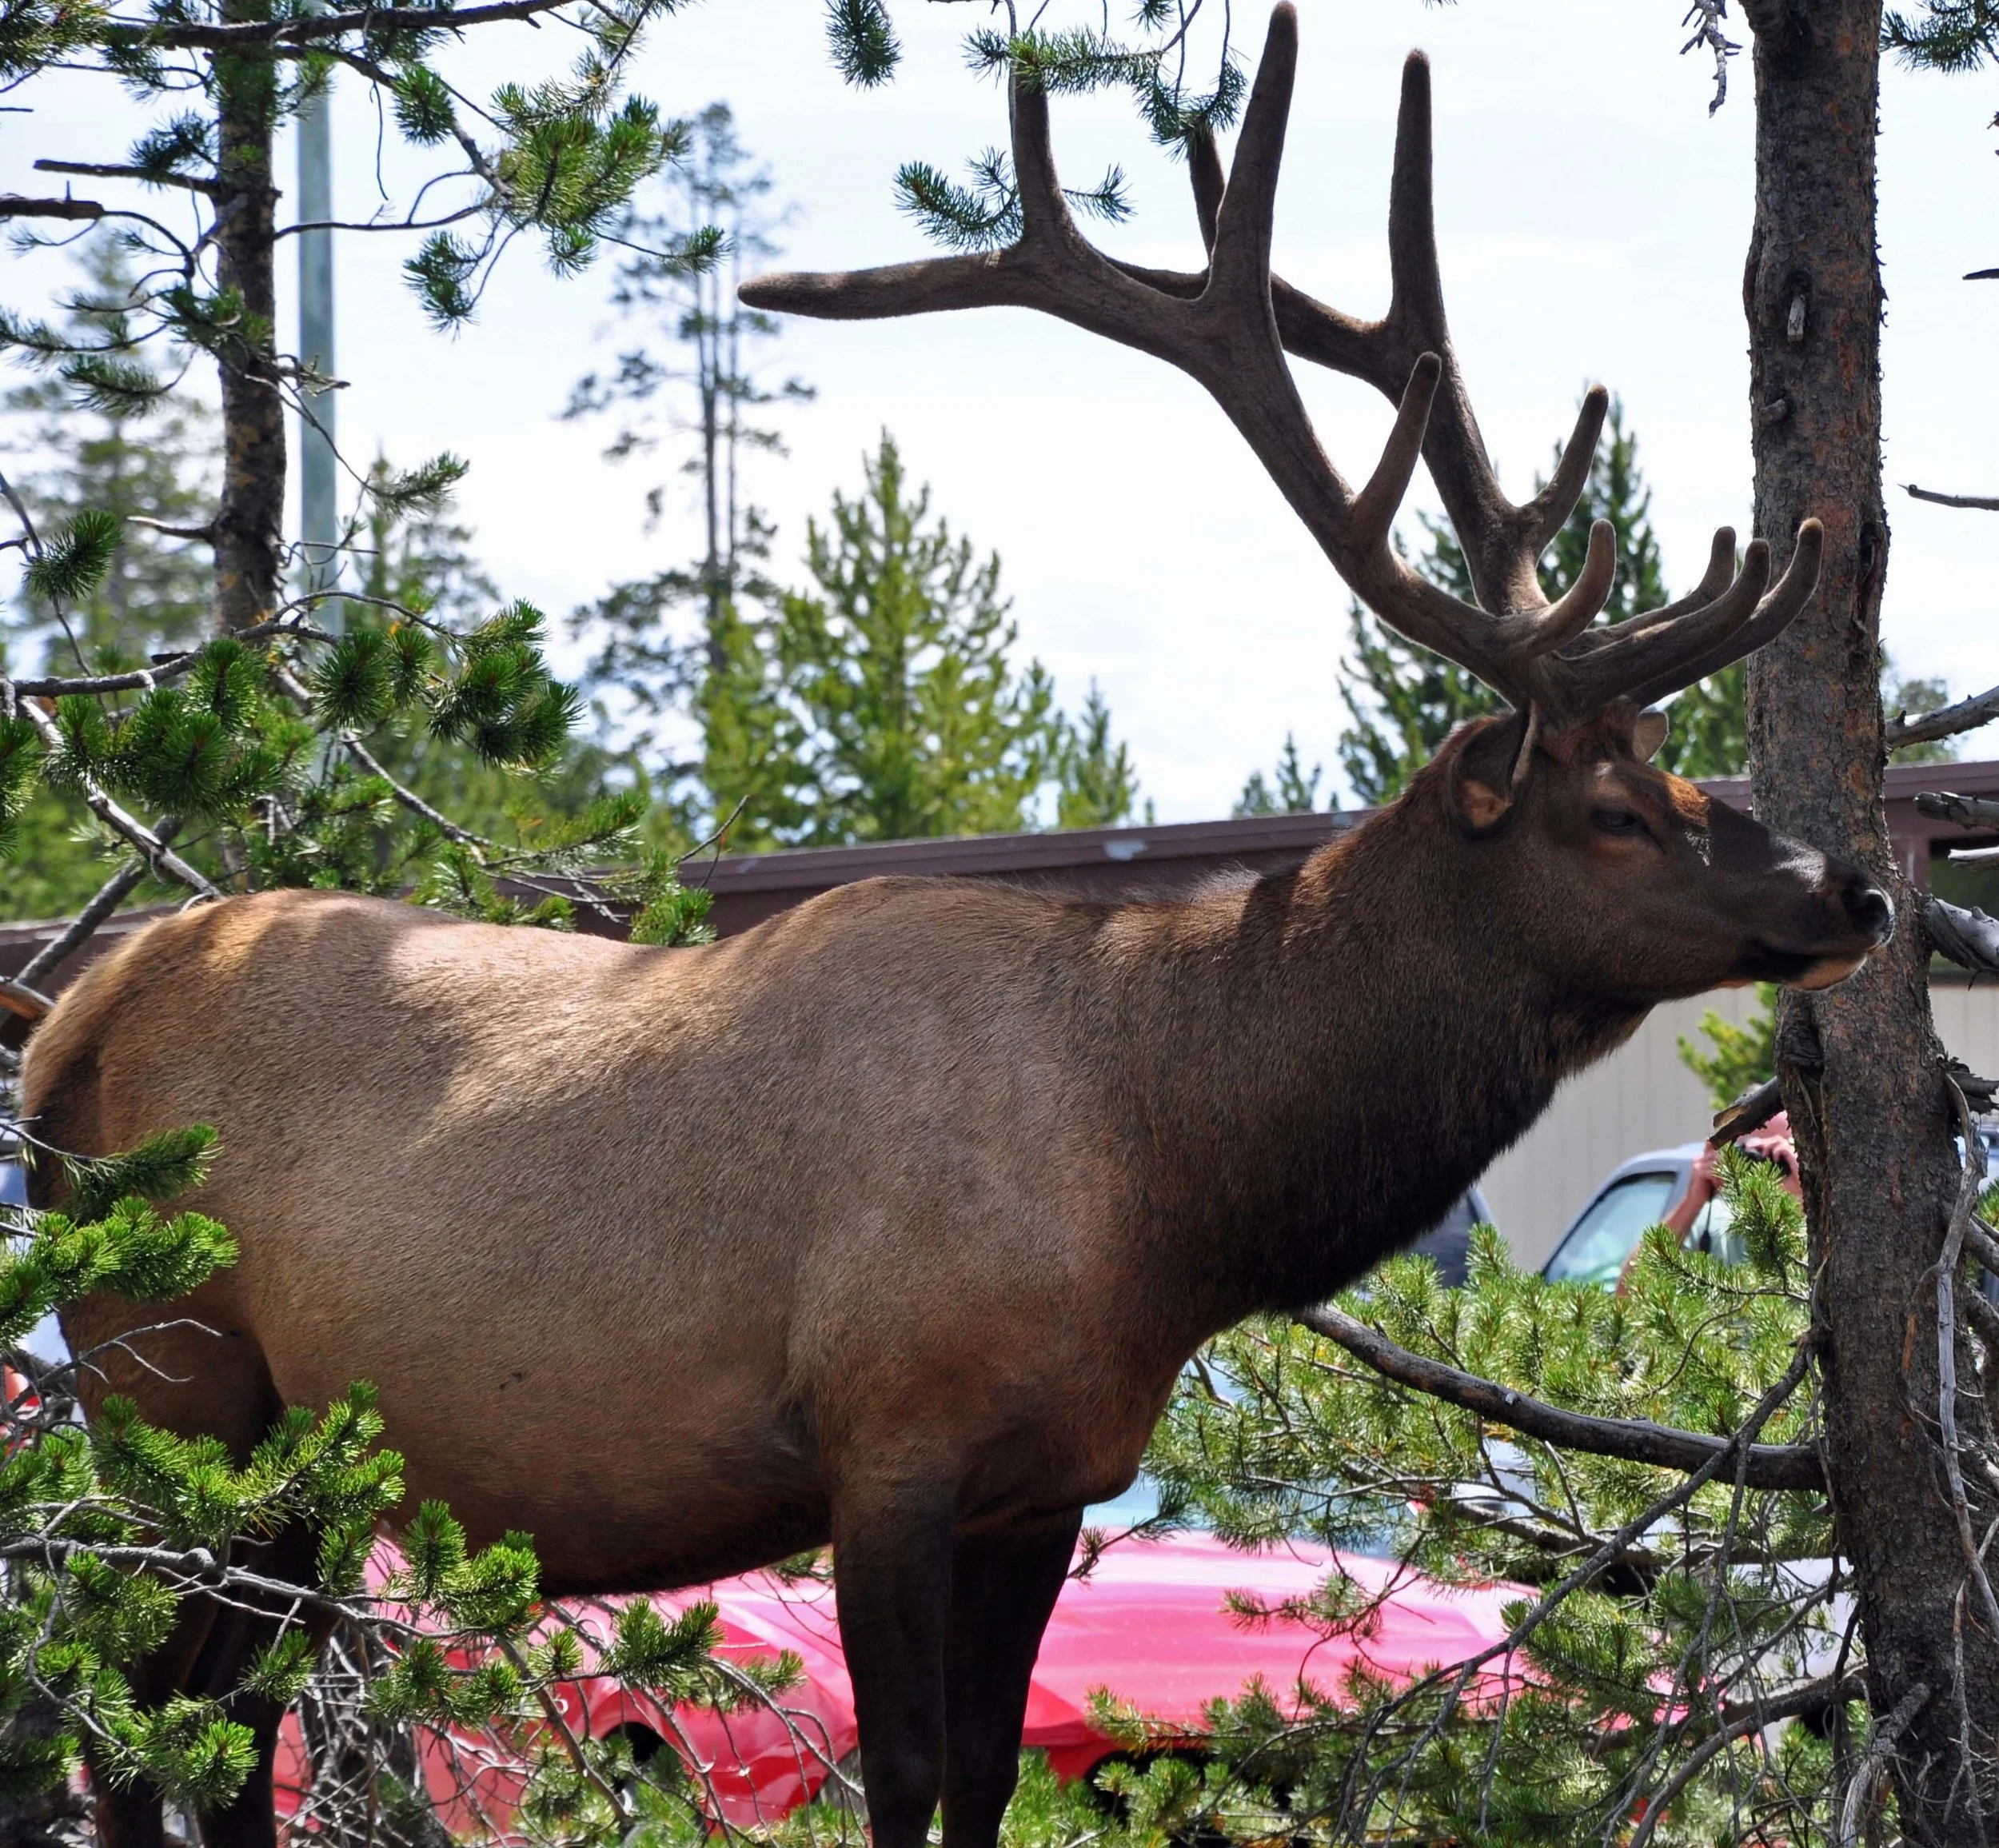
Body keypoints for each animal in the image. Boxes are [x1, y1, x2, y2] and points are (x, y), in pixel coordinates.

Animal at [20, 10, 1893, 1848]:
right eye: (1614, 808)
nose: (1851, 888)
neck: (1170, 1187)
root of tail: (61, 1031)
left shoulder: (1046, 1480)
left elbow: (988, 1774)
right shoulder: (888, 1441)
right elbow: (909, 1774)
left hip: (286, 1456)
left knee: (220, 1732)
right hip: (166, 1382)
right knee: (125, 1735)